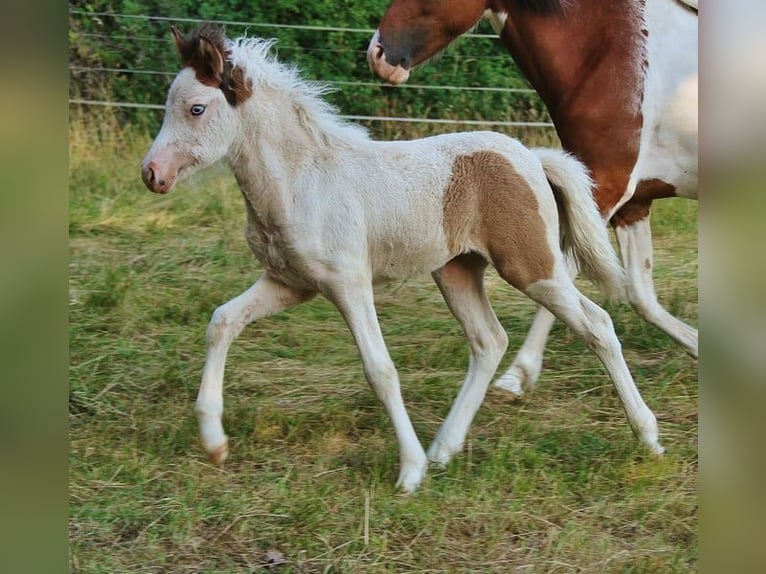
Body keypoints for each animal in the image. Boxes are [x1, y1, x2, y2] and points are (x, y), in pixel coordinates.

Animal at [141, 25, 663, 493]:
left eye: (196, 108)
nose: (152, 174)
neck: (301, 179)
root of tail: (532, 157)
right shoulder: (289, 283)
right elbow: (222, 321)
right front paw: (214, 442)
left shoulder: (348, 284)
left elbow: (380, 369)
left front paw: (409, 471)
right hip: (456, 271)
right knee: (488, 341)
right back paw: (444, 449)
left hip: (533, 268)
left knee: (596, 324)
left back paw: (648, 436)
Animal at [367, 0, 698, 398]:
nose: (378, 54)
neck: (611, 53)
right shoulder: (630, 205)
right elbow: (641, 296)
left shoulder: (603, 189)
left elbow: (563, 279)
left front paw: (516, 377)